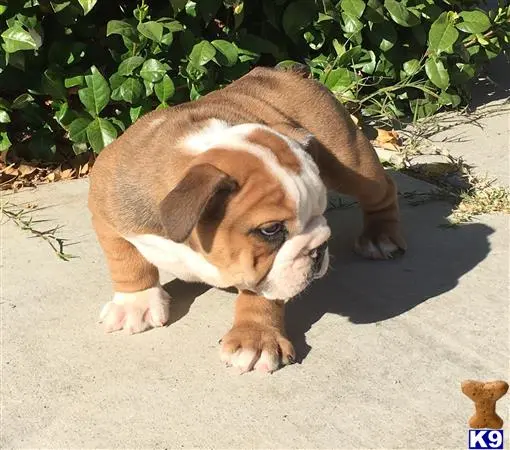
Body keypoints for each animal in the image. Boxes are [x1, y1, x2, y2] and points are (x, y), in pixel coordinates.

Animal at [88, 63, 406, 372]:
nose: (318, 249)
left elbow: (262, 296)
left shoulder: (265, 271)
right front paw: (135, 303)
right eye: (271, 229)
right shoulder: (105, 208)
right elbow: (124, 259)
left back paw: (380, 237)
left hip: (351, 160)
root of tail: (289, 71)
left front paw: (255, 337)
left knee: (381, 190)